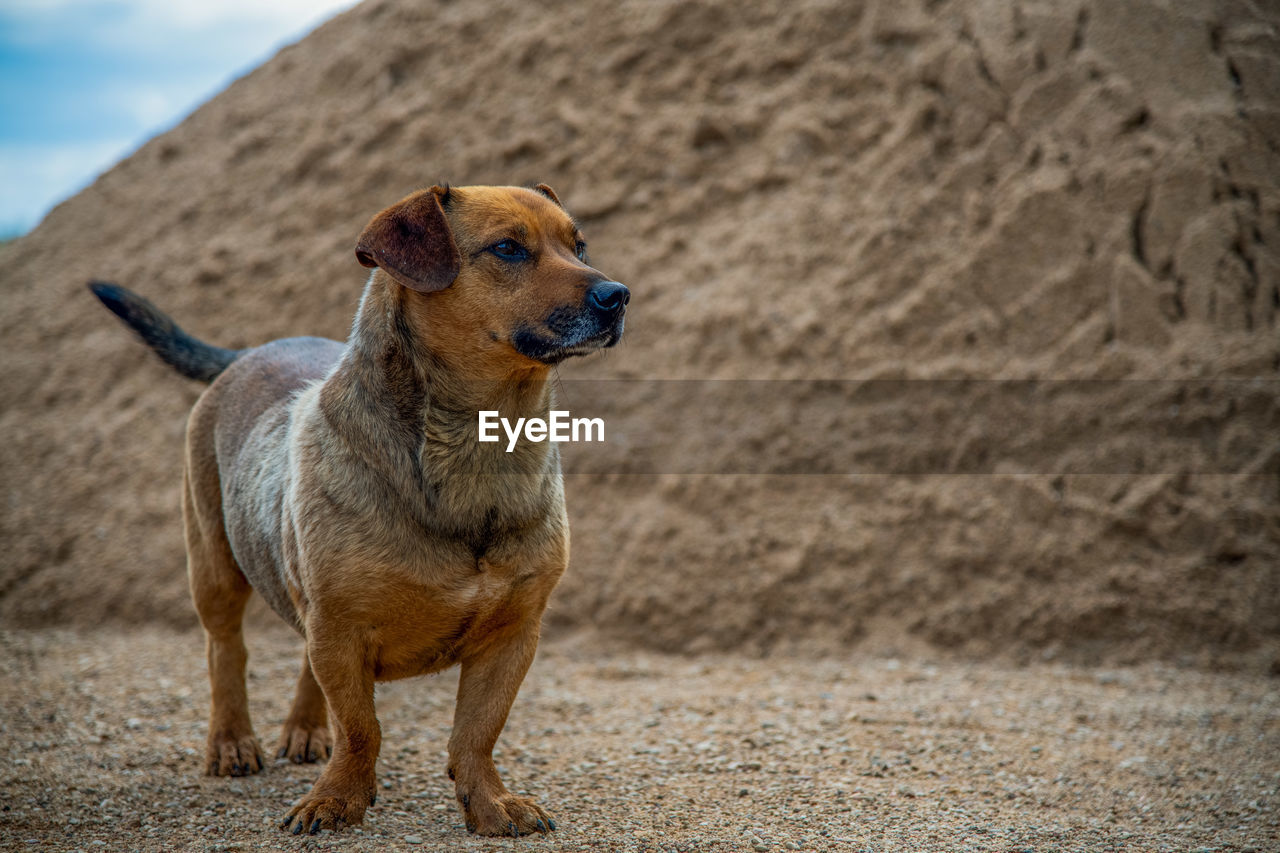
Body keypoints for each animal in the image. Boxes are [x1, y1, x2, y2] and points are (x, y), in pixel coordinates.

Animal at [90, 184, 629, 829]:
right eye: (507, 249)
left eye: (579, 245)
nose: (617, 296)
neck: (477, 451)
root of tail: (250, 351)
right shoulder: (342, 628)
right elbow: (360, 727)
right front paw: (338, 797)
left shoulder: (513, 634)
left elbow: (476, 733)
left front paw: (490, 803)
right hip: (215, 568)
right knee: (227, 652)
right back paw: (231, 741)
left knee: (302, 659)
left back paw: (302, 731)